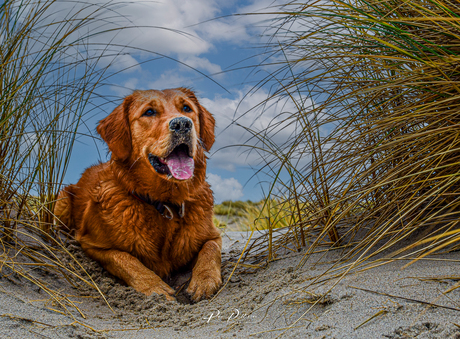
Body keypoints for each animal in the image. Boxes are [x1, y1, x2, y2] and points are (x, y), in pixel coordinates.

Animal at [53, 89, 222, 302]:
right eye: (149, 112)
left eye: (186, 108)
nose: (182, 124)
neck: (165, 203)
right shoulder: (93, 244)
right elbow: (126, 259)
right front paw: (155, 287)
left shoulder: (213, 235)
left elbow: (210, 249)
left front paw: (204, 280)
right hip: (62, 199)